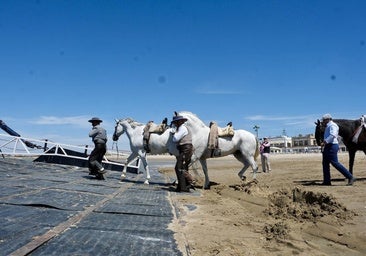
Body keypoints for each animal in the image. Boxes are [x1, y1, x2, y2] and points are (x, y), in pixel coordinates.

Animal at [113, 112, 258, 190]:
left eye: (115, 126)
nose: (114, 137)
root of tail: (253, 135)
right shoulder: (201, 157)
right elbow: (126, 161)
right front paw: (122, 176)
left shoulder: (141, 152)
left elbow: (146, 165)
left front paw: (147, 180)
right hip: (239, 154)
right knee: (247, 165)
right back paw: (242, 176)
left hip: (246, 154)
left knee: (254, 166)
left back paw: (253, 182)